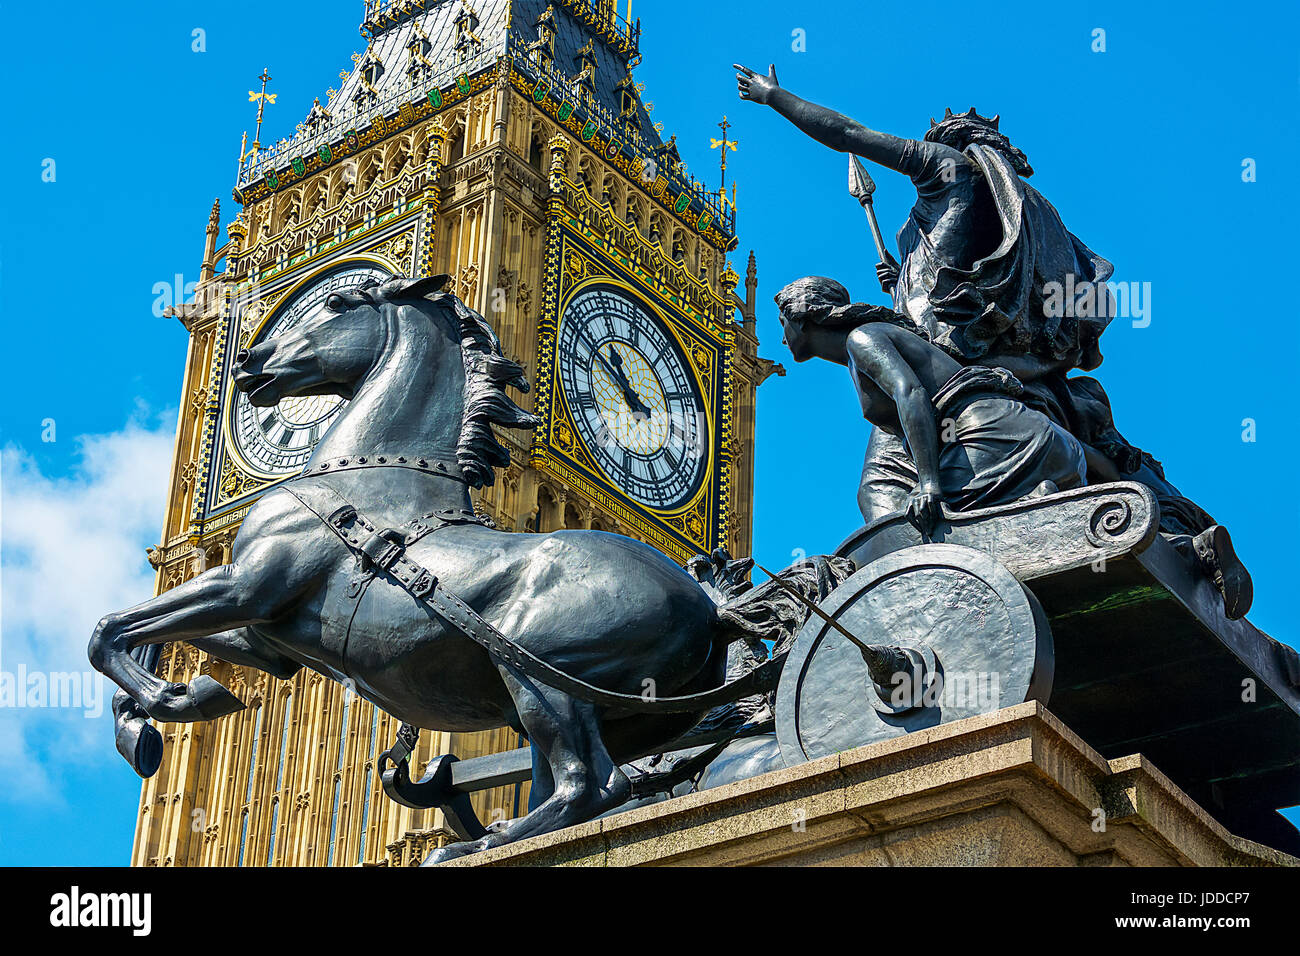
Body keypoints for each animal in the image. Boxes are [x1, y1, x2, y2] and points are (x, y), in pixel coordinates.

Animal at [91, 273, 811, 863]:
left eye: (338, 303)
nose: (249, 360)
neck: (366, 470)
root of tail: (711, 607)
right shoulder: (270, 636)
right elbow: (155, 640)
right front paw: (172, 707)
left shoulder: (249, 584)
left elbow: (109, 630)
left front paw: (163, 709)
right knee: (579, 777)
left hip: (536, 666)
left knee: (591, 784)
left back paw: (475, 845)